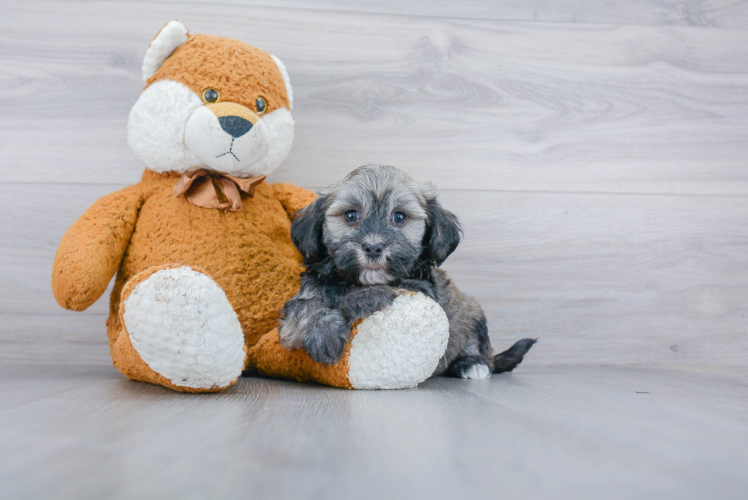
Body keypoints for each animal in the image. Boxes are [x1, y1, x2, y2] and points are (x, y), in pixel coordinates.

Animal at [278, 164, 536, 378]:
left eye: (399, 217)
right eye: (351, 215)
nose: (373, 247)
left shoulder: (422, 289)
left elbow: (396, 285)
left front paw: (361, 297)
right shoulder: (306, 292)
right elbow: (305, 306)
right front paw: (324, 334)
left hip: (472, 314)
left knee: (477, 348)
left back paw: (472, 364)